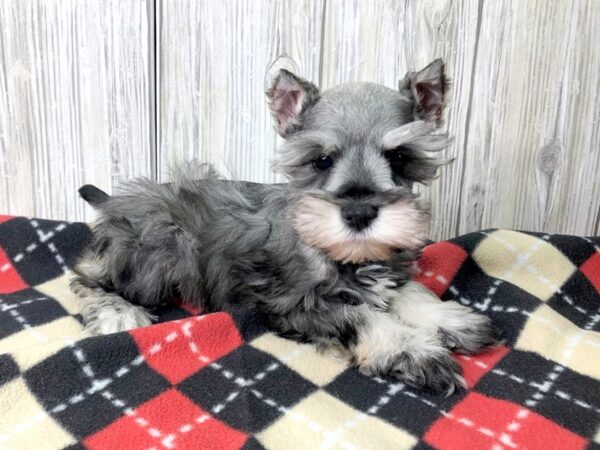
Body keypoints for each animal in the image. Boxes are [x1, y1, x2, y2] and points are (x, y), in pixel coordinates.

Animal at [72, 59, 500, 394]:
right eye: (322, 160)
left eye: (399, 156)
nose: (359, 212)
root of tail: (117, 202)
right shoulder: (298, 302)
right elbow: (363, 315)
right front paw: (411, 349)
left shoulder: (388, 272)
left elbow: (411, 293)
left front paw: (451, 319)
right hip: (160, 244)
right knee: (88, 276)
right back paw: (116, 312)